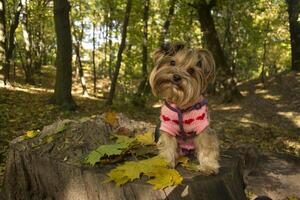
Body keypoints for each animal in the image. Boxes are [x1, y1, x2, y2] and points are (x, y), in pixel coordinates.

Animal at [149, 42, 219, 175]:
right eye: (172, 62)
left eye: (191, 70)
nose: (176, 76)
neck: (181, 106)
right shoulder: (167, 125)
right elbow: (167, 143)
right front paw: (166, 163)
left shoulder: (202, 126)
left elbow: (206, 145)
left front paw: (208, 166)